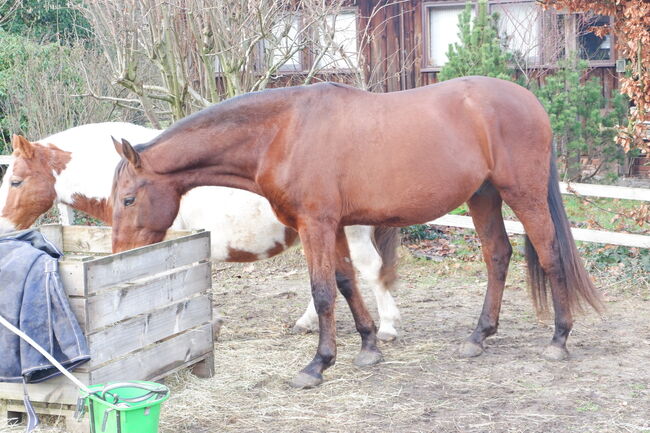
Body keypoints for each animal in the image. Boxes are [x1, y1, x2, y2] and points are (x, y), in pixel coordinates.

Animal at [110, 77, 604, 388]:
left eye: (128, 199)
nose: (119, 258)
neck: (282, 133)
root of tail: (530, 101)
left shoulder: (316, 224)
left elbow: (323, 292)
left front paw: (317, 365)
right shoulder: (335, 226)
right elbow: (346, 283)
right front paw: (368, 345)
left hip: (522, 193)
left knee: (549, 254)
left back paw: (559, 339)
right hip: (482, 195)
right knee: (497, 255)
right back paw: (478, 336)